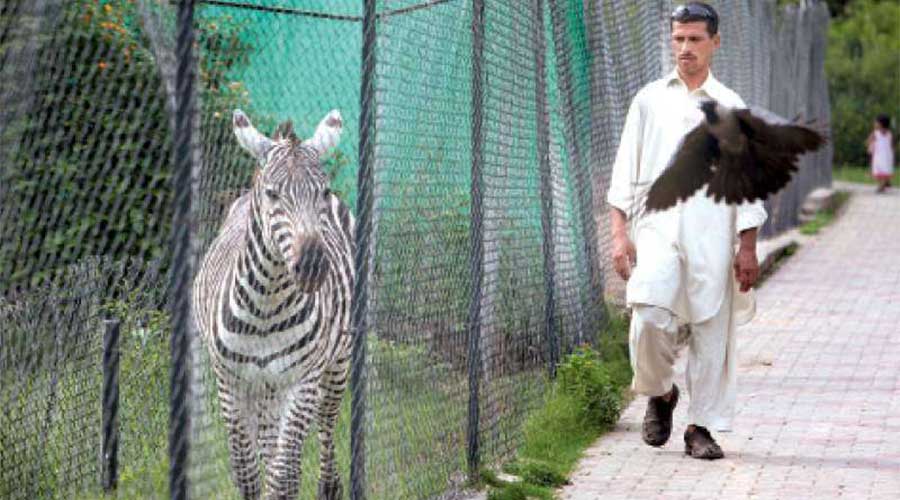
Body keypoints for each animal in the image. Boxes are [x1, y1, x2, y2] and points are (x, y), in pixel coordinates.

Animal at [192, 109, 354, 500]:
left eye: (323, 192)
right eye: (272, 194)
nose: (313, 267)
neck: (266, 305)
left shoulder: (303, 381)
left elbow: (284, 476)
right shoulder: (230, 383)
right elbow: (247, 472)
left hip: (336, 362)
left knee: (325, 425)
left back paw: (329, 485)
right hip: (263, 387)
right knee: (269, 446)